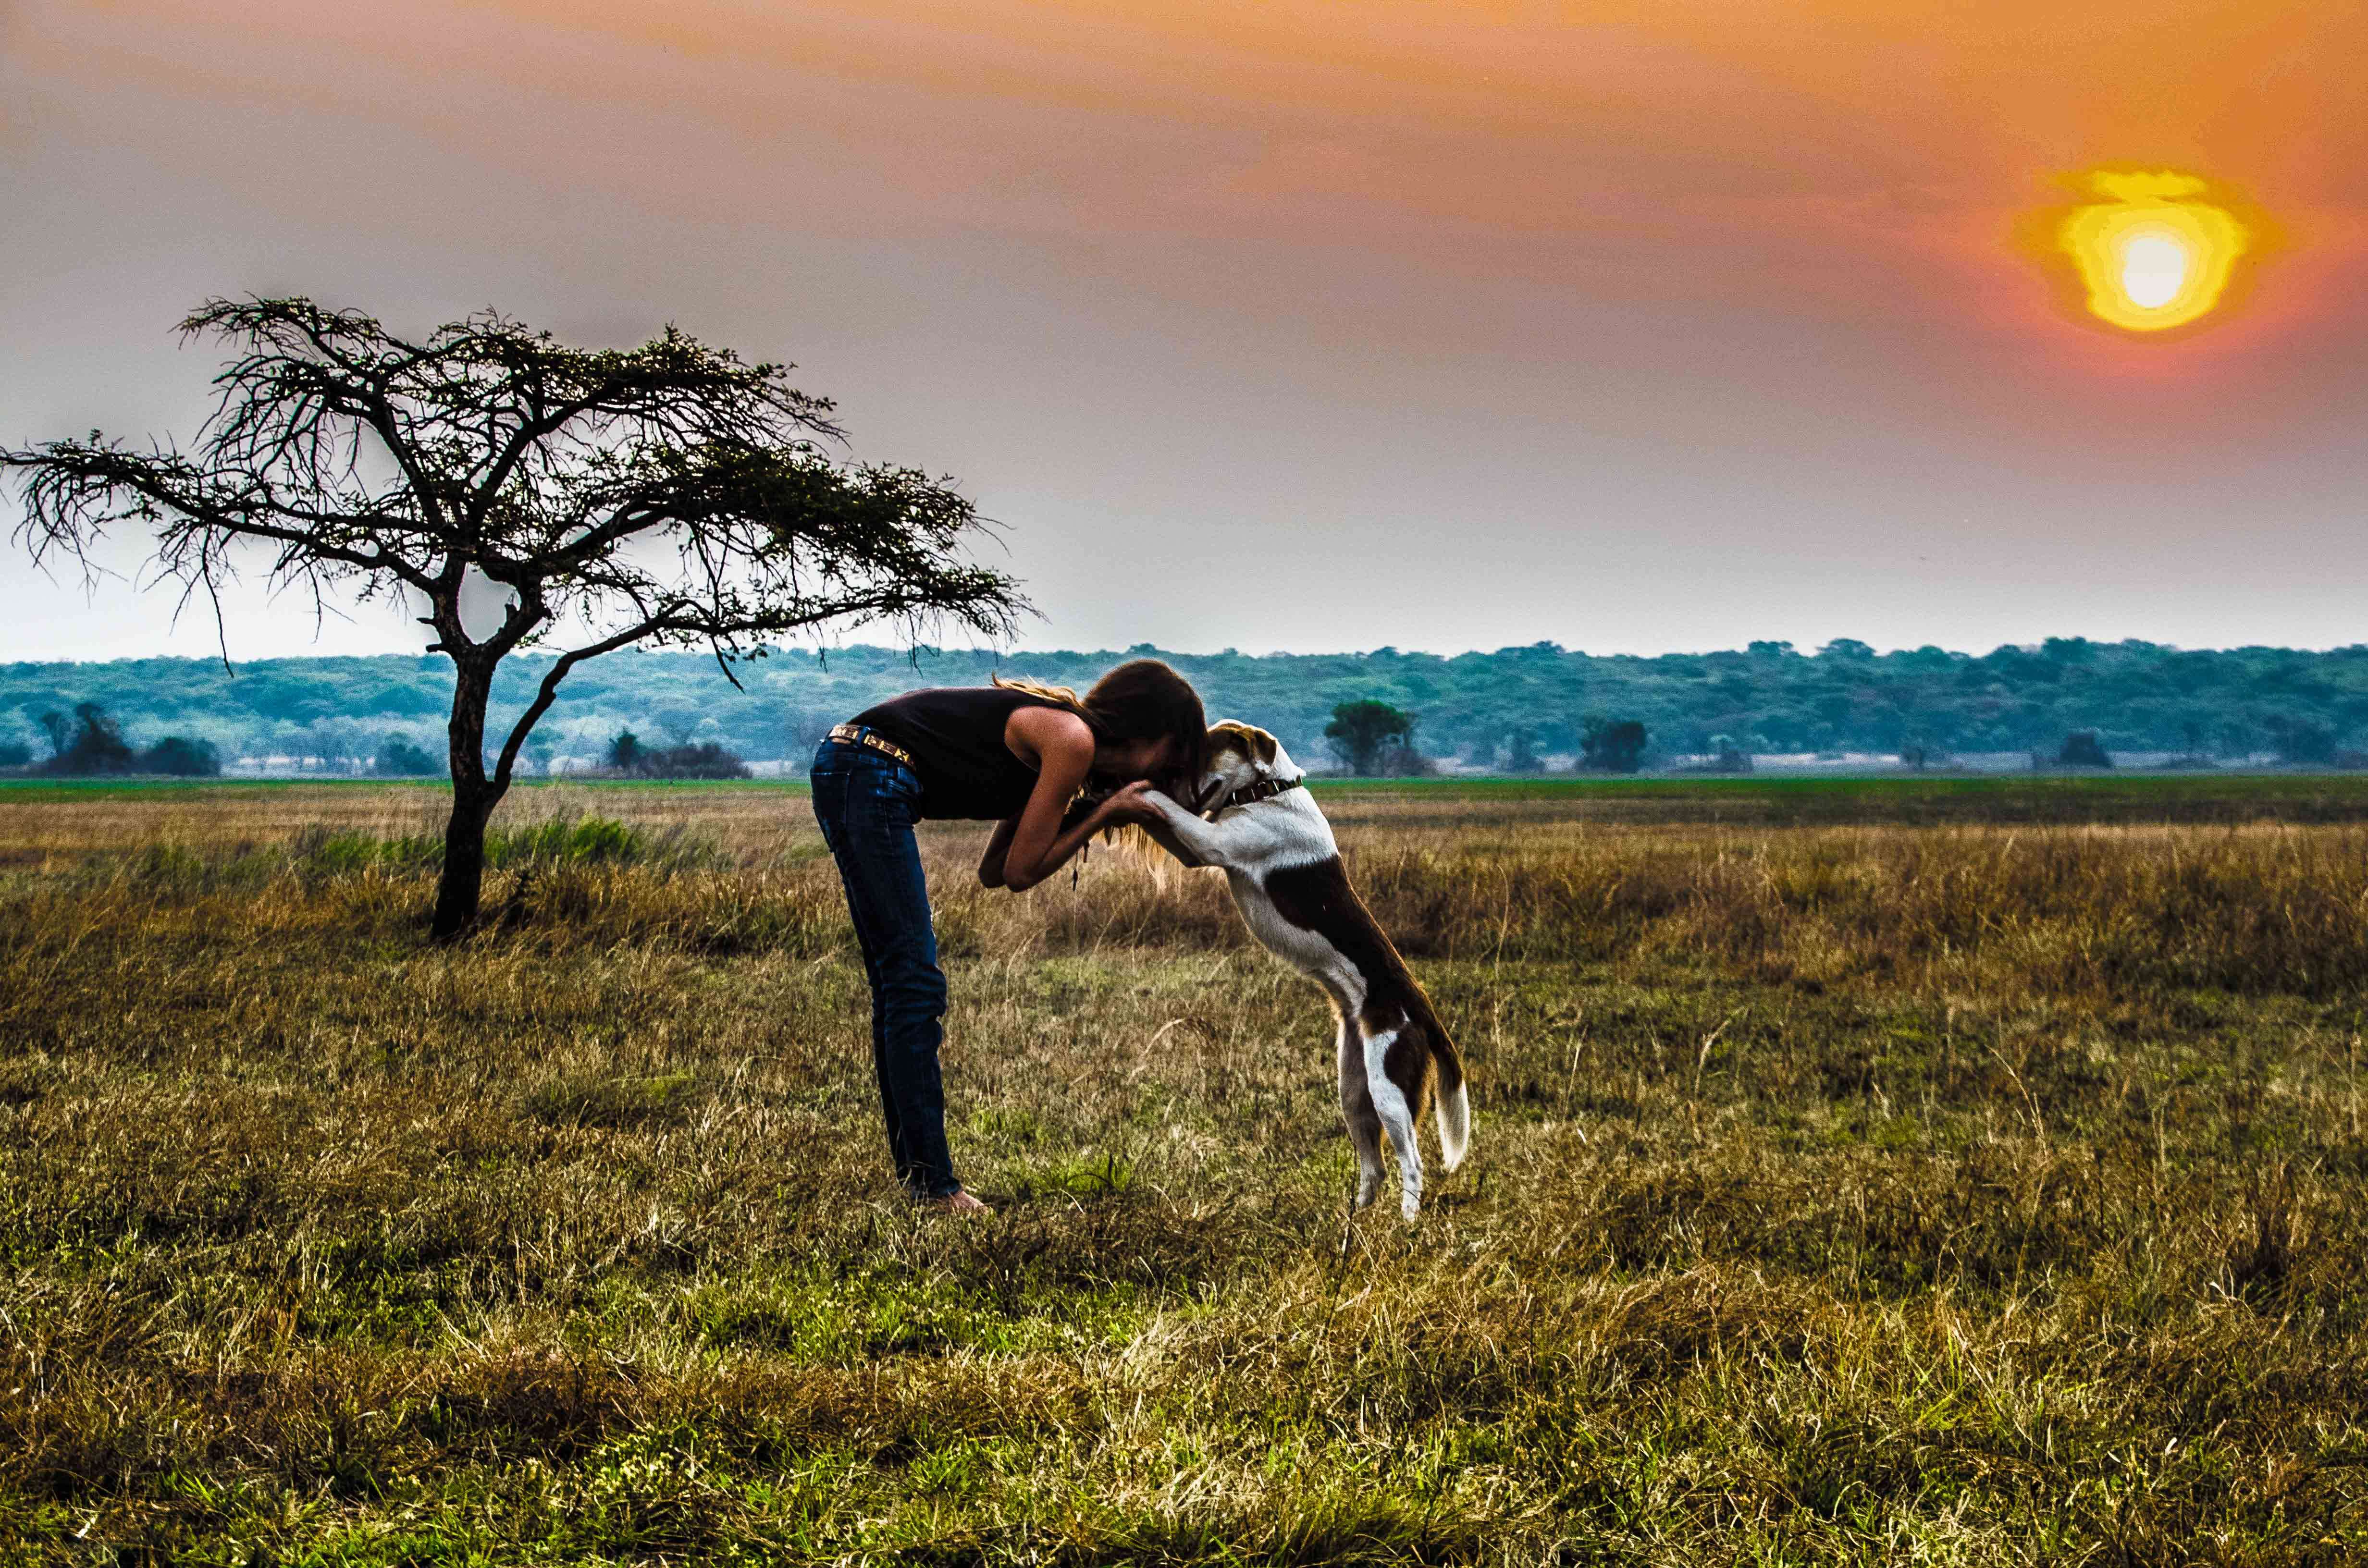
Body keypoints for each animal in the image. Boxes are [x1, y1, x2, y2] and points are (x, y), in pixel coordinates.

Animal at [1141, 729, 1468, 1231]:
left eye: (1205, 750)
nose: (1173, 782)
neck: (1270, 791)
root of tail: (1424, 1012)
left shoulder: (1212, 844)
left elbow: (1170, 814)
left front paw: (1139, 792)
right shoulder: (1198, 847)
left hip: (1390, 1091)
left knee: (1412, 1163)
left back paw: (1405, 1225)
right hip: (1353, 1090)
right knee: (1373, 1167)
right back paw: (1353, 1223)